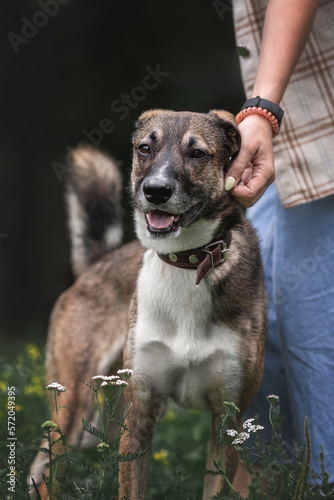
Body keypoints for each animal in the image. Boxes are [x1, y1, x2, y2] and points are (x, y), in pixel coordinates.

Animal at [30, 109, 266, 500]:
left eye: (197, 153)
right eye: (145, 148)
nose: (155, 190)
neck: (188, 263)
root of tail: (98, 262)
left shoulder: (228, 423)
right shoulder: (139, 412)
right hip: (75, 409)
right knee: (45, 470)